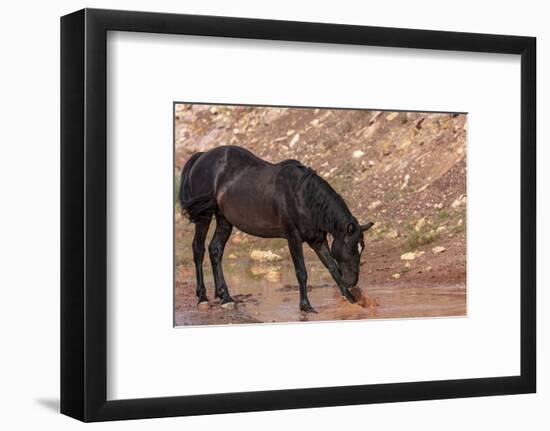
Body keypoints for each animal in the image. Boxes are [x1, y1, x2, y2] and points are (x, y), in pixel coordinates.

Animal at [181, 146, 376, 314]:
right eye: (351, 250)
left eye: (362, 249)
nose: (352, 281)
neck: (304, 197)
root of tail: (202, 156)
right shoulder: (293, 238)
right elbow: (301, 272)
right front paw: (306, 306)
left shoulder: (318, 240)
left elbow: (333, 268)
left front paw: (351, 300)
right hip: (204, 216)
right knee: (198, 249)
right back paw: (203, 297)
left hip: (224, 220)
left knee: (215, 250)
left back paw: (225, 297)